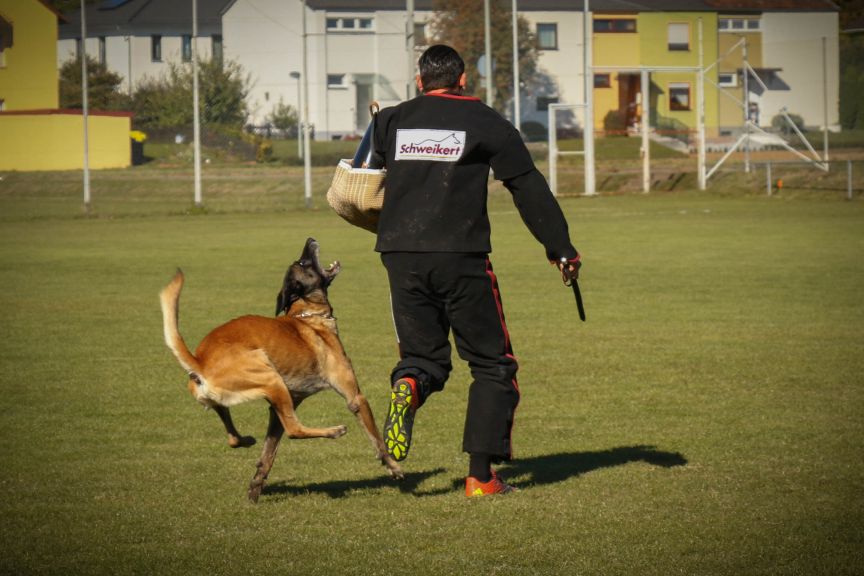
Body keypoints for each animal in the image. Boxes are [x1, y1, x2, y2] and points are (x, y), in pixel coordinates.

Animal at [159, 237, 403, 502]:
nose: (310, 239)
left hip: (248, 396)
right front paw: (393, 466)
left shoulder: (280, 408)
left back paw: (245, 439)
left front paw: (256, 486)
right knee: (294, 430)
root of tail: (200, 360)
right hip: (270, 376)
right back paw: (334, 431)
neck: (306, 314)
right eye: (303, 263)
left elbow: (268, 453)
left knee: (233, 437)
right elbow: (377, 439)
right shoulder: (355, 397)